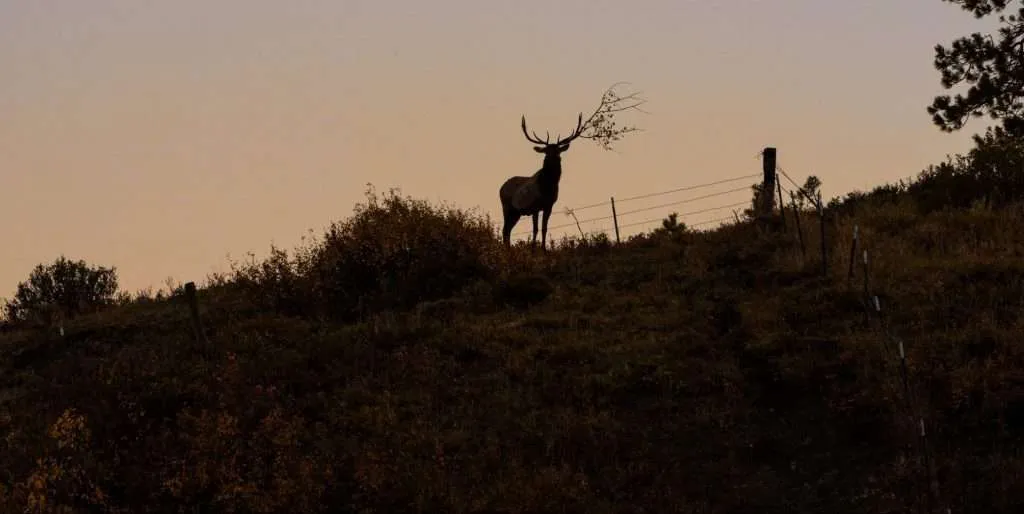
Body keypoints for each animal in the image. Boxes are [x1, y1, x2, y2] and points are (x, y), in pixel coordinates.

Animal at [499, 112, 585, 250]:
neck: (547, 187)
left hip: (516, 212)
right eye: (546, 151)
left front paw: (544, 249)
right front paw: (533, 249)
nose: (553, 158)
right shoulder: (534, 206)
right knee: (505, 230)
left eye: (558, 151)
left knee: (508, 230)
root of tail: (500, 188)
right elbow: (535, 229)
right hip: (506, 207)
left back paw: (508, 249)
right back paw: (506, 249)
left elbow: (544, 228)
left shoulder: (549, 205)